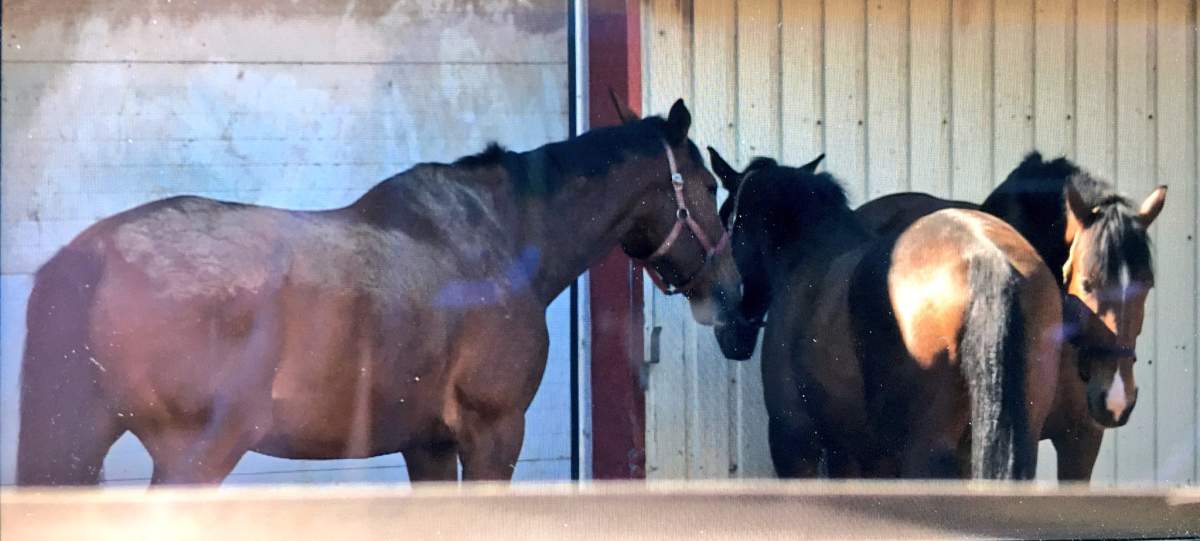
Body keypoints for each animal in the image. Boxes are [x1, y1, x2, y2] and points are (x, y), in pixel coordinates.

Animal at [17, 99, 742, 486]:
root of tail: (91, 256)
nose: (733, 291)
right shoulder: (493, 432)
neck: (501, 237)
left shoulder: (427, 442)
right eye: (709, 185)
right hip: (195, 453)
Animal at [709, 149, 1061, 480]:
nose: (728, 332)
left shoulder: (794, 439)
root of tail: (986, 255)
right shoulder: (855, 452)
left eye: (725, 219)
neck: (806, 258)